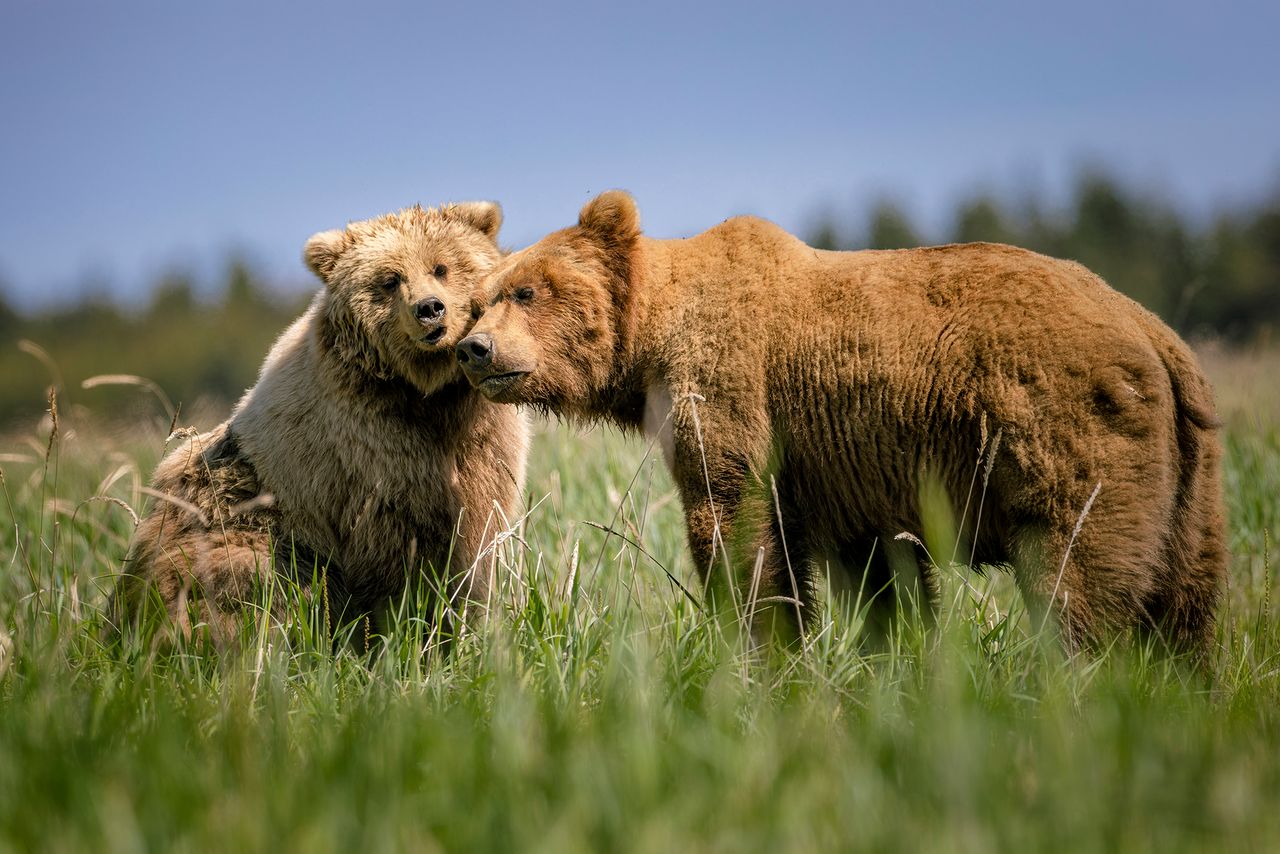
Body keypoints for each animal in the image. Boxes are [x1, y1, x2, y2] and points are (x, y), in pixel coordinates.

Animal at [112, 202, 527, 647]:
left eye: (442, 267)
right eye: (390, 279)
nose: (429, 309)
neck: (425, 391)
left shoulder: (480, 441)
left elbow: (474, 542)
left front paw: (460, 628)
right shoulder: (367, 456)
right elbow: (395, 560)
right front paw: (395, 633)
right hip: (239, 521)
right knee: (244, 582)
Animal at [460, 193, 1228, 660]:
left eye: (525, 290)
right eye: (483, 299)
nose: (475, 349)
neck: (653, 341)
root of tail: (1156, 334)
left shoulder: (735, 394)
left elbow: (740, 529)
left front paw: (760, 647)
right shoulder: (852, 469)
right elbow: (880, 574)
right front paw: (887, 657)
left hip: (1067, 427)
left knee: (1074, 572)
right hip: (1191, 473)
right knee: (1185, 600)